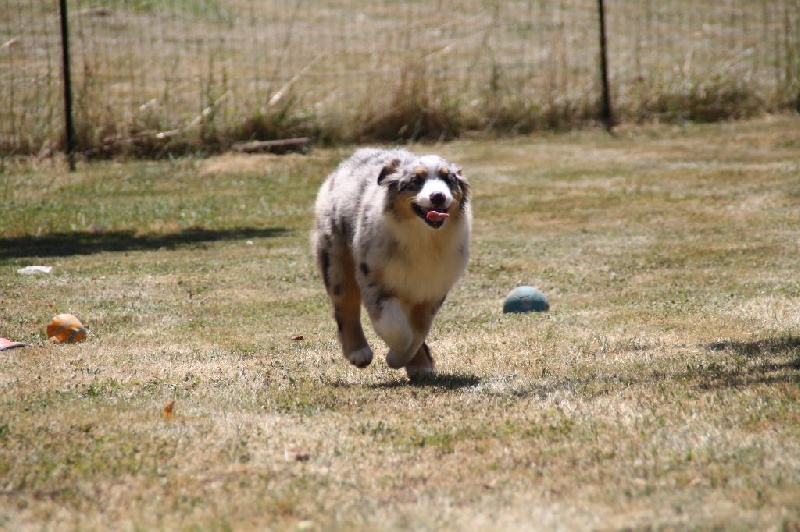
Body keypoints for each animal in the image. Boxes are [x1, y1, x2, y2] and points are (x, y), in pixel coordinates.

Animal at [313, 148, 471, 378]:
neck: (423, 238)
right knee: (346, 306)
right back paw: (358, 352)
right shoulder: (374, 278)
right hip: (336, 260)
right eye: (416, 180)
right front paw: (395, 356)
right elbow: (397, 329)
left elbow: (418, 331)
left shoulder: (433, 290)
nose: (438, 196)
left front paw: (409, 361)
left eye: (448, 179)